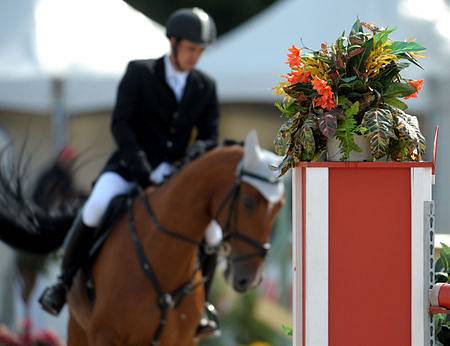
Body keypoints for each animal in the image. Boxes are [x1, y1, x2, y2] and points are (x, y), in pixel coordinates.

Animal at [66, 131, 284, 344]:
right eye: (248, 202)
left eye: (280, 207)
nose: (250, 279)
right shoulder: (105, 335)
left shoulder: (181, 340)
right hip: (79, 328)